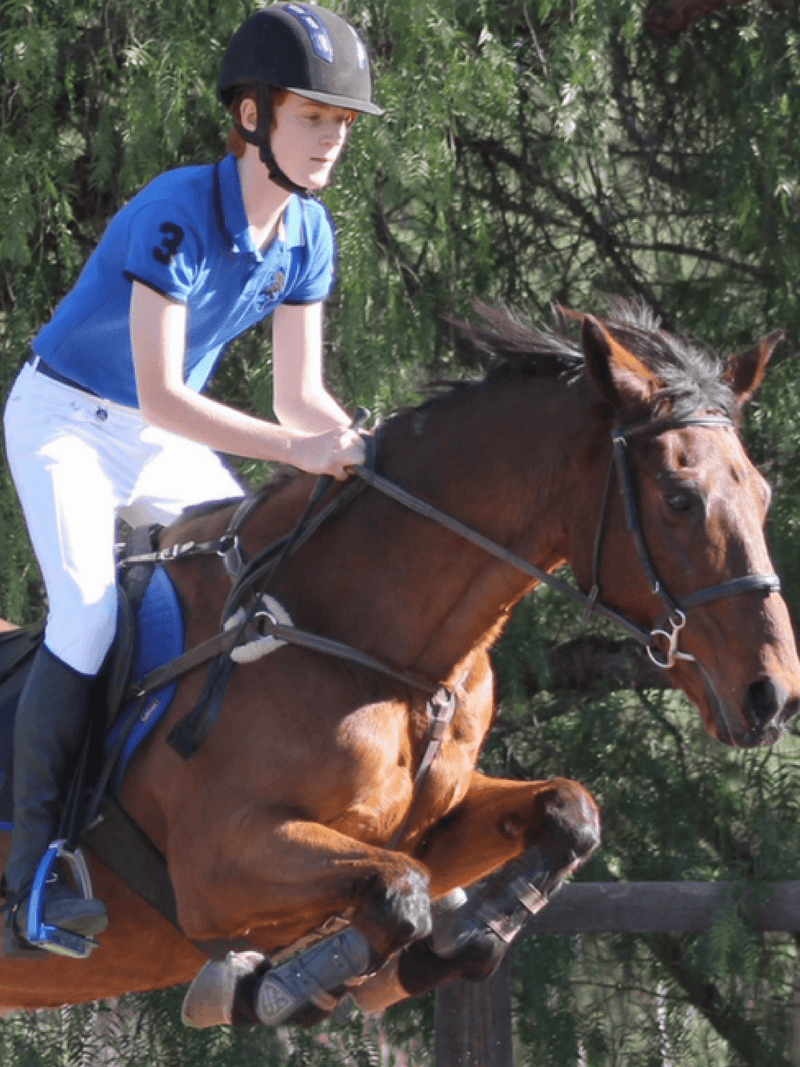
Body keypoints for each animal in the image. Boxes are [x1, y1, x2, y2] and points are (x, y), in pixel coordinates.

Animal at [0, 303, 797, 1024]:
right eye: (680, 498)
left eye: (762, 493)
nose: (773, 697)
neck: (377, 648)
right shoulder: (217, 862)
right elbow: (400, 891)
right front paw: (280, 985)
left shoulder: (434, 820)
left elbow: (569, 813)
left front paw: (462, 938)